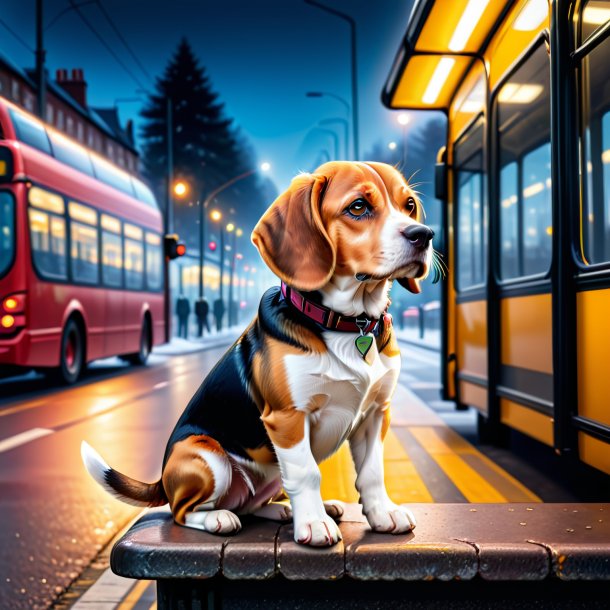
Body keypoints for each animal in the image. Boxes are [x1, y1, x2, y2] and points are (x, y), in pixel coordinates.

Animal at [82, 159, 432, 544]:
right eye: (358, 207)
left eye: (409, 205)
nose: (424, 234)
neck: (348, 323)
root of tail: (162, 480)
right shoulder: (288, 418)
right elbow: (307, 472)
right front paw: (313, 524)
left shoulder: (374, 414)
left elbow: (371, 472)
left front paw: (383, 514)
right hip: (206, 455)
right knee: (182, 511)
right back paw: (220, 518)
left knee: (252, 503)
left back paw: (287, 510)